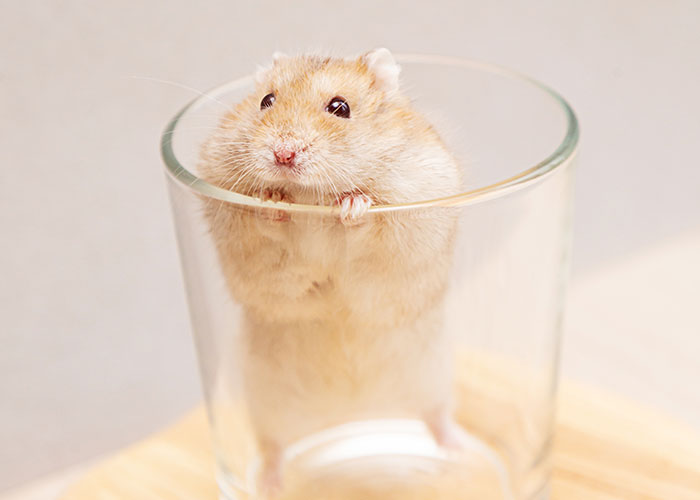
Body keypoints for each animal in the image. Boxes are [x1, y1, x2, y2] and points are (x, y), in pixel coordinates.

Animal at [198, 48, 463, 496]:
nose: (283, 154)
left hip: (432, 375)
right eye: (266, 101)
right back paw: (270, 486)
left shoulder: (412, 204)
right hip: (268, 405)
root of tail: (352, 417)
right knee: (273, 448)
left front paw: (352, 205)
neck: (309, 195)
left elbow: (368, 225)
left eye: (340, 108)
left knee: (436, 417)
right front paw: (273, 201)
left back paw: (454, 455)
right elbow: (265, 229)